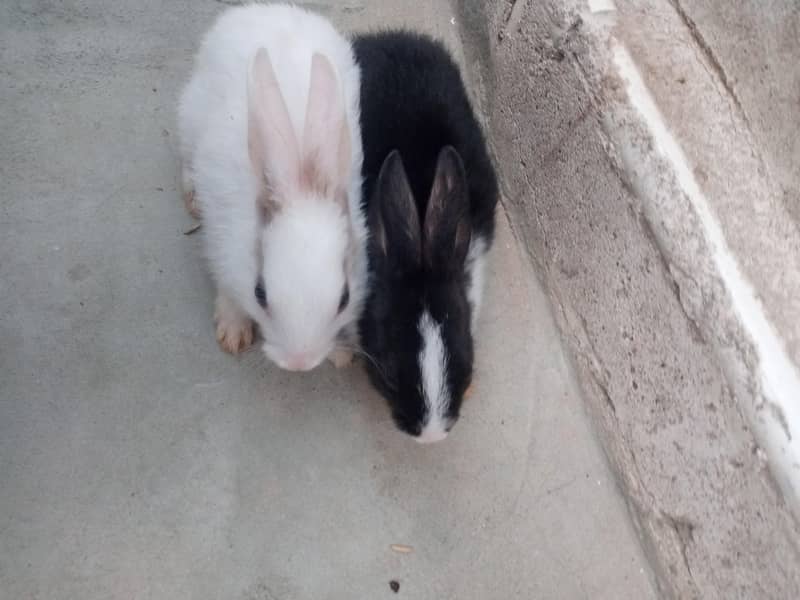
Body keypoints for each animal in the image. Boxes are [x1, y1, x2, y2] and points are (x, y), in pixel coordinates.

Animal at [177, 4, 366, 372]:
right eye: (259, 292)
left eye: (344, 298)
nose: (299, 362)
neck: (300, 181)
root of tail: (263, 8)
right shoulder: (221, 247)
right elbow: (227, 290)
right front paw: (233, 332)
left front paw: (340, 353)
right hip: (189, 120)